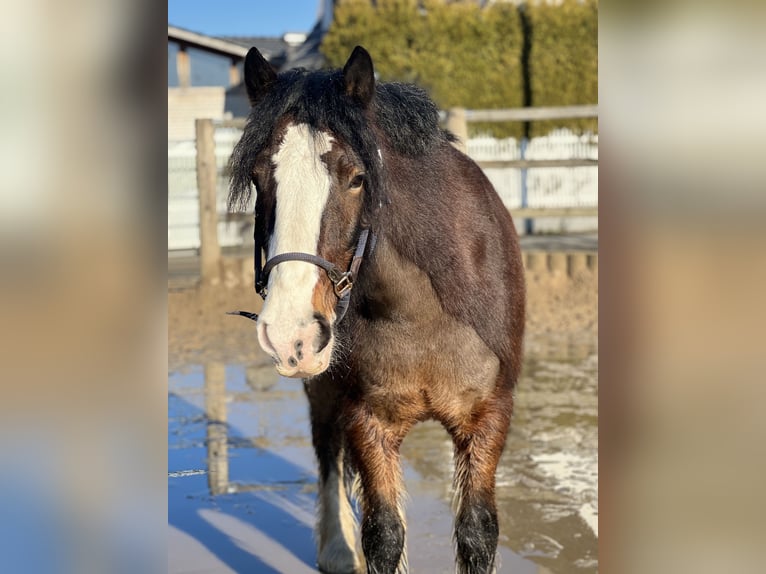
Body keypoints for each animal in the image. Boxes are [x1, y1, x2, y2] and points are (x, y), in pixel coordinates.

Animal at [228, 47, 524, 574]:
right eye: (260, 179)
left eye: (357, 179)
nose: (289, 334)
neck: (420, 313)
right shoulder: (366, 419)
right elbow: (383, 533)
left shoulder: (488, 415)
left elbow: (477, 532)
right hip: (322, 388)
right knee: (327, 450)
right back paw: (336, 548)